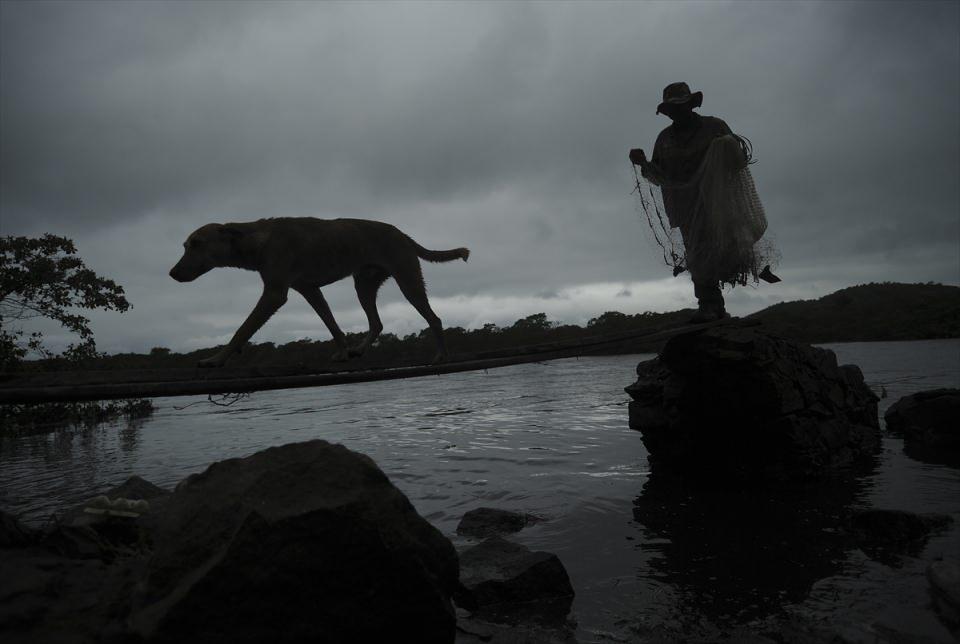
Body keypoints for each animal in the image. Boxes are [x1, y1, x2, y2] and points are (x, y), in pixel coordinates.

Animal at [174, 218, 474, 364]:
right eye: (186, 245)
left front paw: (216, 359)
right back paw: (359, 350)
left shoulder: (274, 293)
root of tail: (404, 235)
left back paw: (442, 355)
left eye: (197, 243)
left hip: (408, 281)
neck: (260, 241)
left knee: (434, 319)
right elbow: (332, 325)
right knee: (377, 323)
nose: (172, 273)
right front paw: (344, 352)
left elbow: (243, 329)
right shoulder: (308, 289)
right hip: (364, 285)